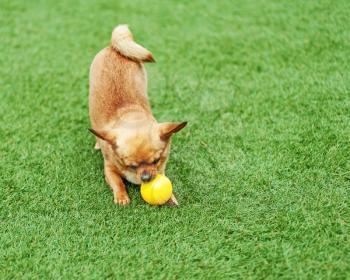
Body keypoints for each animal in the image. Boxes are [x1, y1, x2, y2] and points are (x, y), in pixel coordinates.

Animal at [88, 25, 186, 206]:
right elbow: (117, 181)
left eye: (156, 161)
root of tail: (114, 47)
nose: (146, 177)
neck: (131, 115)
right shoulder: (109, 169)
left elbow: (163, 176)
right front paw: (121, 196)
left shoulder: (160, 168)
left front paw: (170, 197)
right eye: (131, 165)